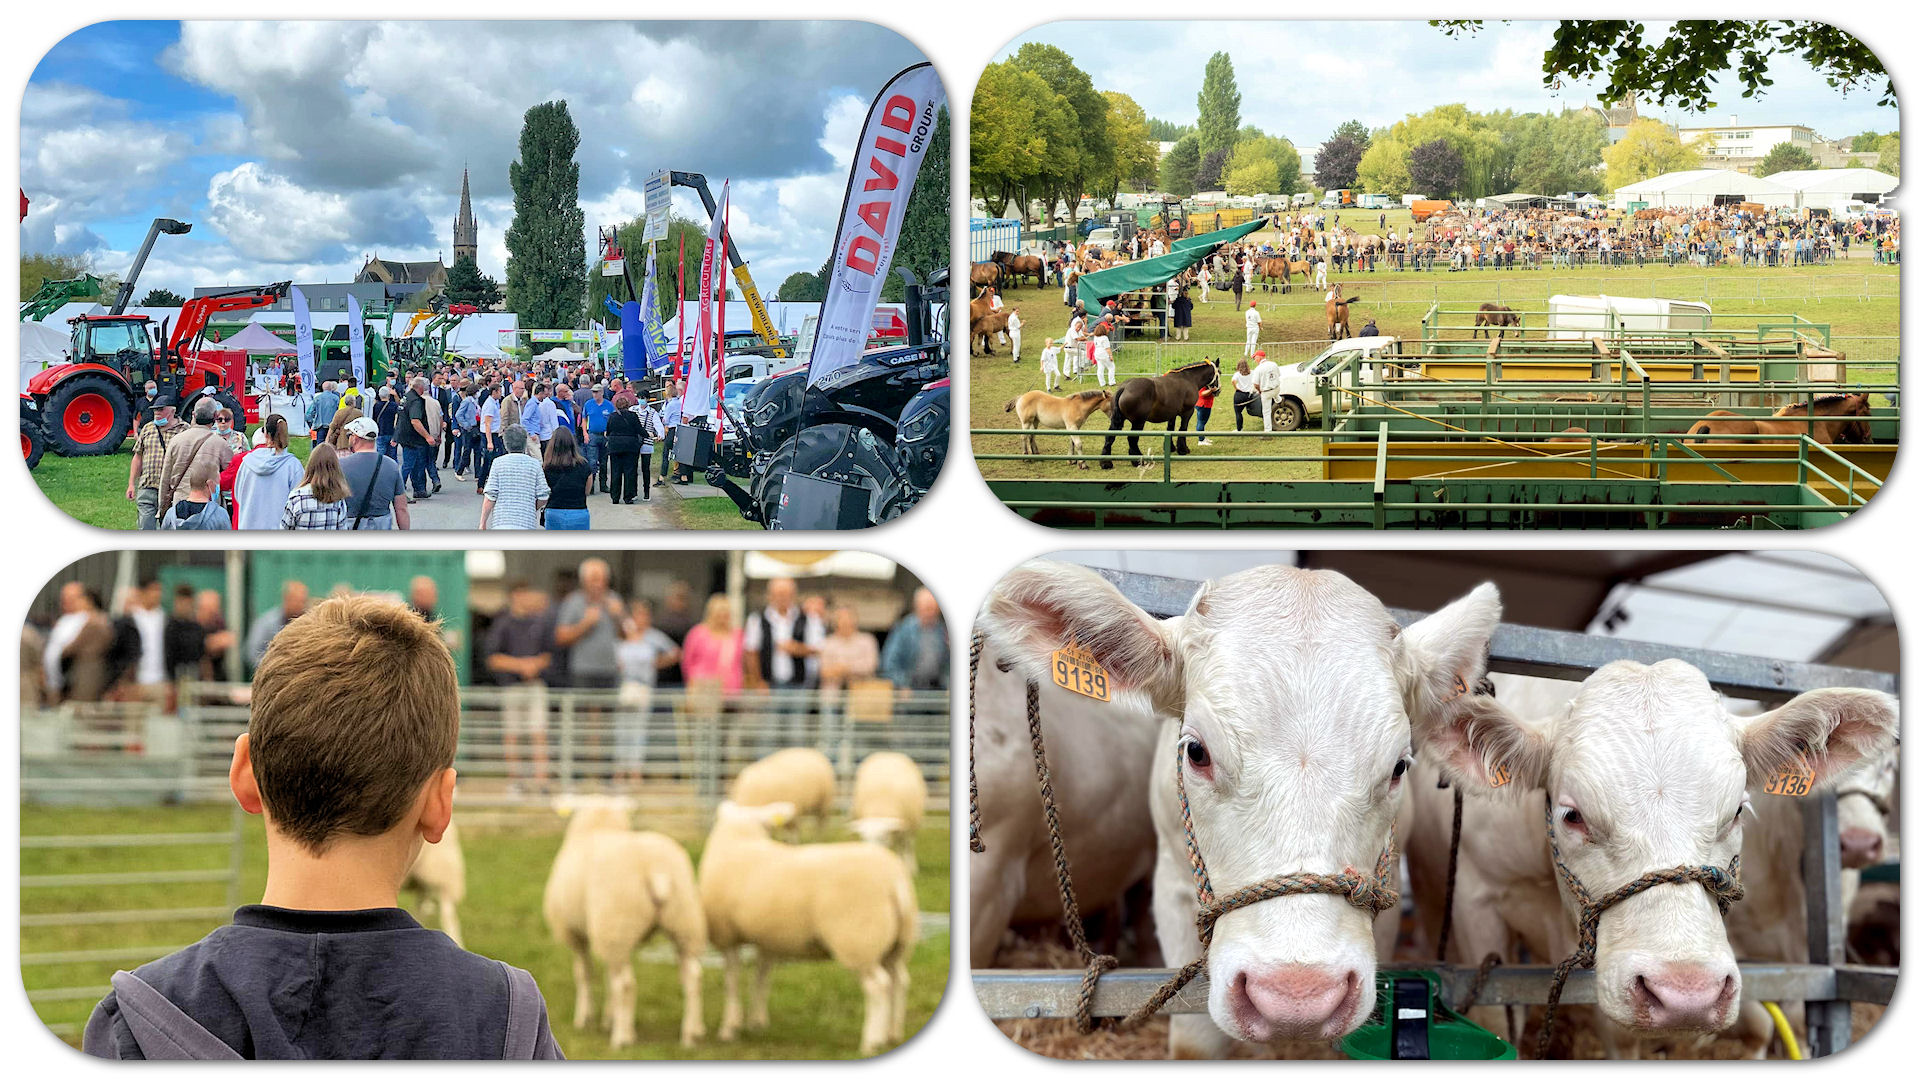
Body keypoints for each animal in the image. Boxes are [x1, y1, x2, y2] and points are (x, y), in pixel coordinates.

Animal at [545, 791, 710, 1045]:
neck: (599, 825)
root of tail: (656, 870)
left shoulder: (575, 933)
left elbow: (584, 974)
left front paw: (584, 1017)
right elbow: (606, 976)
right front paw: (608, 1017)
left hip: (617, 923)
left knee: (626, 984)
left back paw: (622, 1037)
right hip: (683, 923)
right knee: (693, 976)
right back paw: (691, 1033)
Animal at [702, 799, 917, 1053]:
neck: (739, 837)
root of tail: (895, 880)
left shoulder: (727, 936)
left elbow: (731, 981)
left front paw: (729, 1029)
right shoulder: (768, 938)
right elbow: (762, 977)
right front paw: (757, 1022)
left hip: (858, 939)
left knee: (879, 986)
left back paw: (871, 1042)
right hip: (897, 942)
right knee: (899, 980)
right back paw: (893, 1034)